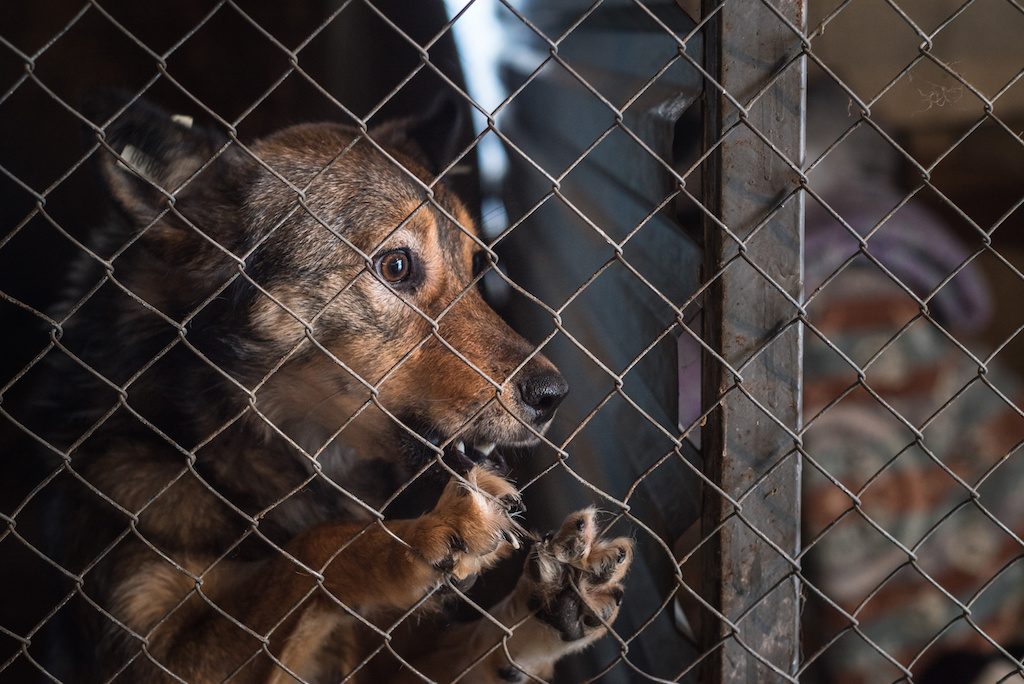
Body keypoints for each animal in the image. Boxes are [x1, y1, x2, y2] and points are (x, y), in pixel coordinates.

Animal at [32, 97, 630, 684]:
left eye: (474, 265)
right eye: (396, 265)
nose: (553, 395)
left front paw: (553, 600)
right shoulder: (155, 653)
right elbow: (313, 550)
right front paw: (416, 537)